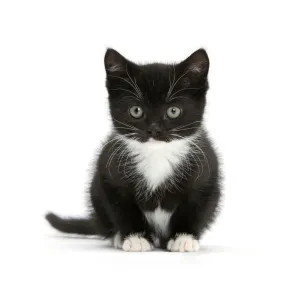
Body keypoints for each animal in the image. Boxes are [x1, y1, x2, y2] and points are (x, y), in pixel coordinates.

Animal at [45, 48, 221, 252]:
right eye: (136, 111)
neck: (156, 155)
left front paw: (183, 238)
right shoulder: (109, 175)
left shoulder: (206, 176)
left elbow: (195, 207)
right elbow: (123, 209)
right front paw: (136, 238)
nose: (154, 130)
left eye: (173, 111)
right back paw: (117, 237)